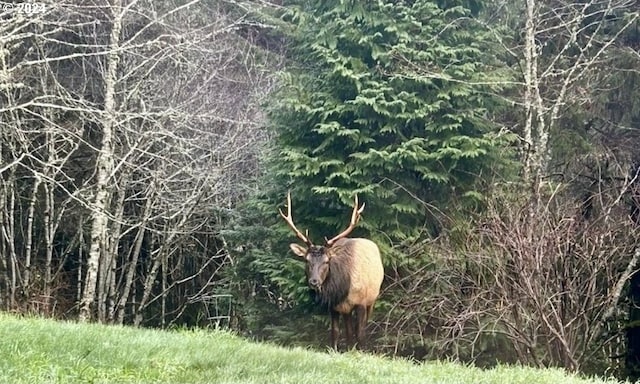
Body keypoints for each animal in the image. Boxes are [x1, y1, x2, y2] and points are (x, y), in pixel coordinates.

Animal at [278, 192, 380, 352]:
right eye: (306, 260)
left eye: (327, 261)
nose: (314, 281)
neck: (343, 287)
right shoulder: (334, 305)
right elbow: (336, 333)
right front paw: (337, 350)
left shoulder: (361, 302)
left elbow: (360, 333)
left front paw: (361, 351)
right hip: (346, 309)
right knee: (349, 330)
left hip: (372, 299)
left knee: (362, 327)